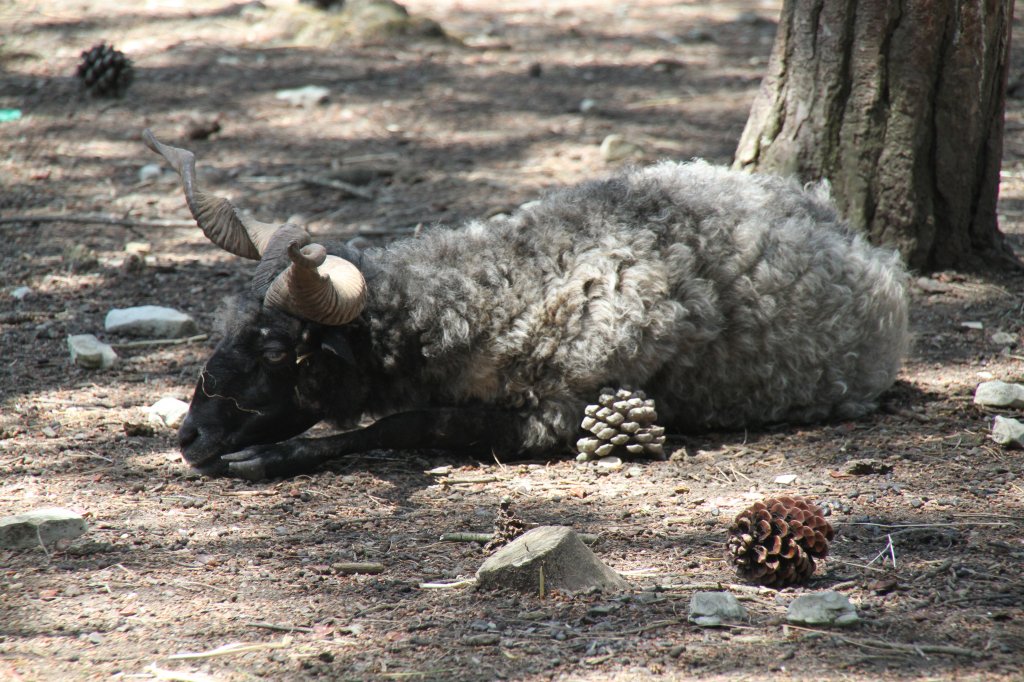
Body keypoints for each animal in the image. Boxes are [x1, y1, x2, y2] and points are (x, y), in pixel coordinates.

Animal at [142, 129, 913, 477]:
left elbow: (408, 422)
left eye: (276, 350)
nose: (190, 437)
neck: (502, 285)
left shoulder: (555, 417)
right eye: (226, 325)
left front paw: (271, 456)